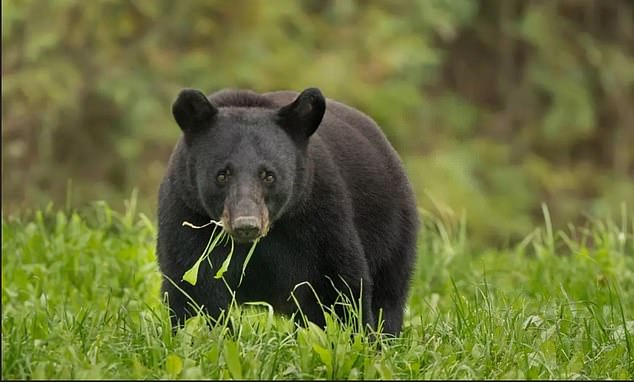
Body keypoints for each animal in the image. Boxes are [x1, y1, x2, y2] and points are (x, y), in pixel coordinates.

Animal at [156, 86, 418, 334]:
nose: (246, 225)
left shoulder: (318, 217)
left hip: (392, 230)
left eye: (268, 175)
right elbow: (194, 287)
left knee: (389, 294)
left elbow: (340, 285)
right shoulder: (187, 214)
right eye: (222, 175)